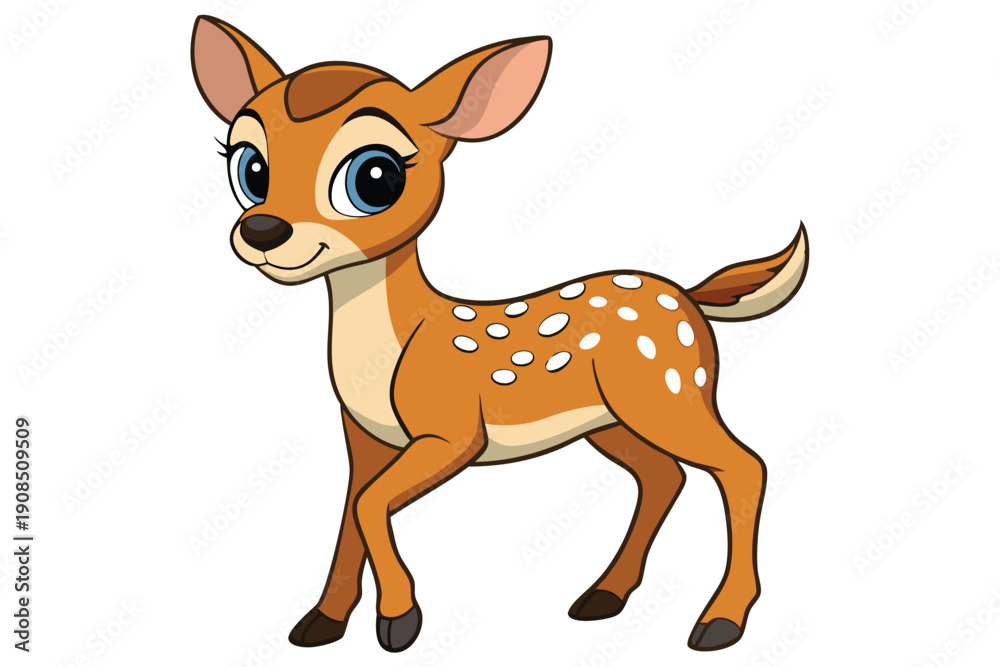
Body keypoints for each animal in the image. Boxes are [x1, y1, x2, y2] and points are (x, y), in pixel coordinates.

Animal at [190, 15, 809, 654]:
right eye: (249, 167)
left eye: (376, 176)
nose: (264, 230)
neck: (392, 350)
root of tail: (688, 297)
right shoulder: (363, 436)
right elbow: (350, 510)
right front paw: (322, 622)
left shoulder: (454, 431)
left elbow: (369, 504)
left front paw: (400, 621)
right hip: (610, 418)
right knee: (664, 475)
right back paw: (603, 597)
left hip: (668, 390)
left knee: (744, 465)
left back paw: (720, 622)